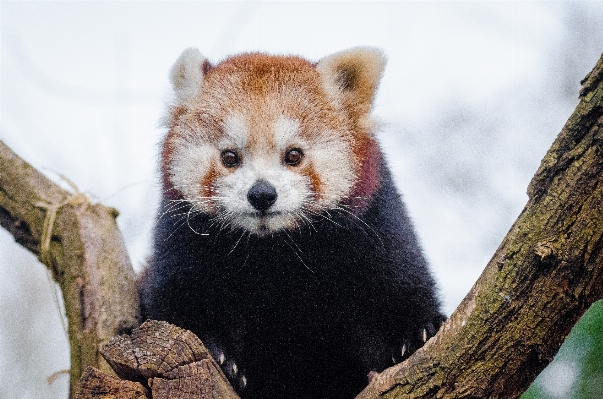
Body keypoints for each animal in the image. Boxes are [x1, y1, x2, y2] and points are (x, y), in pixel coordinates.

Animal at [139, 48, 446, 399]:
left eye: (294, 155)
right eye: (229, 157)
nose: (261, 194)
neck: (277, 250)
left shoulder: (375, 231)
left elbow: (399, 284)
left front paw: (416, 334)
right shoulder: (183, 247)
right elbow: (175, 306)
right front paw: (219, 355)